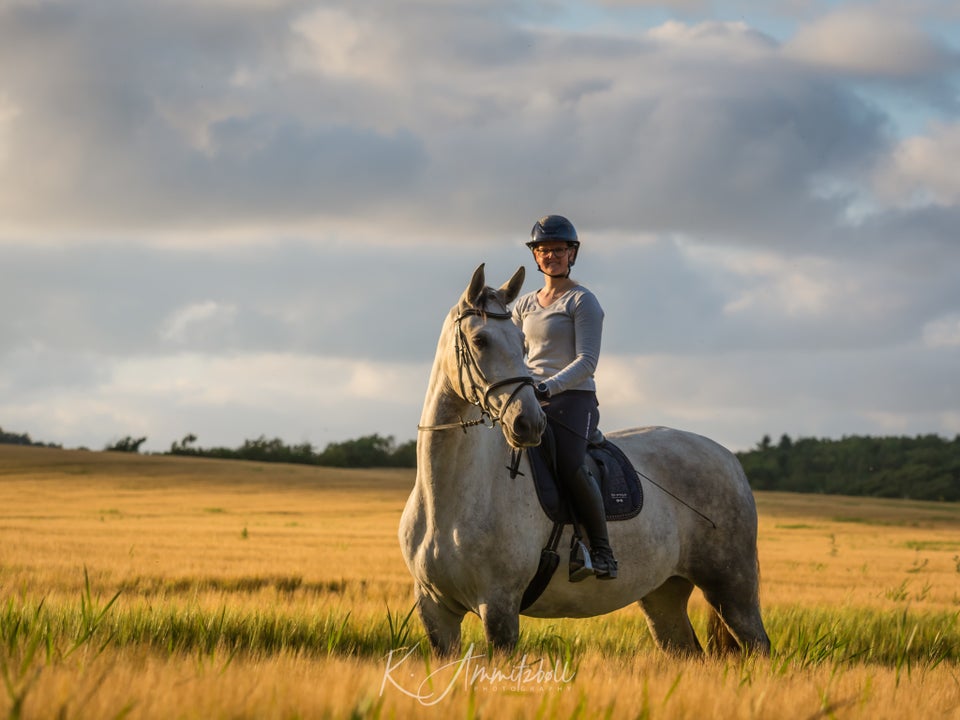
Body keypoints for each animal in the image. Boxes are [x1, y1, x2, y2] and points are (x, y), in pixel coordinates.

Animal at [398, 266, 772, 660]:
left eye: (521, 341)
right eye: (481, 339)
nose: (528, 423)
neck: (450, 497)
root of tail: (728, 458)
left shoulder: (499, 606)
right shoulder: (436, 611)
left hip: (731, 588)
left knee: (759, 646)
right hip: (665, 593)